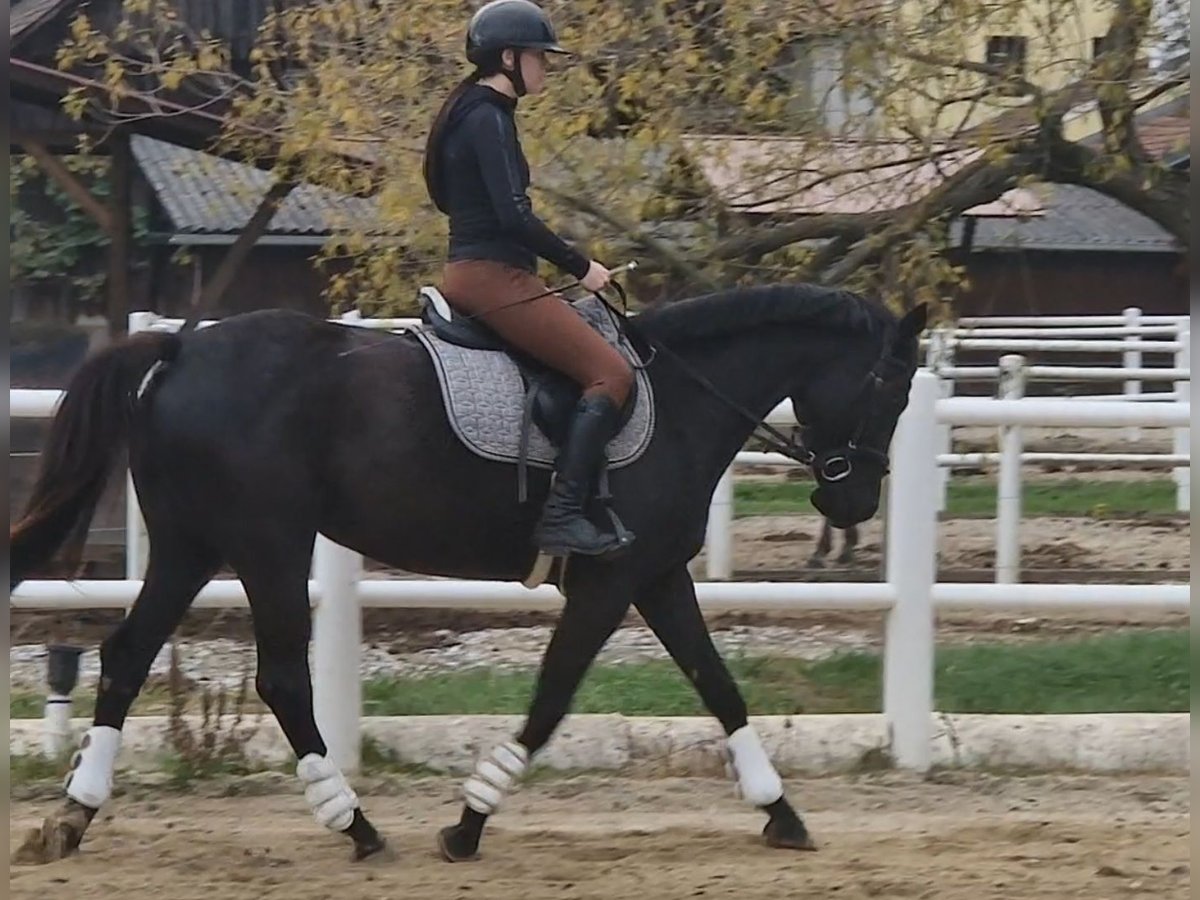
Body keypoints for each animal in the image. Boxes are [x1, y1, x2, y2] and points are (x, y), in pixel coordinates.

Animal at [11, 282, 926, 868]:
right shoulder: (609, 581)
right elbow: (552, 698)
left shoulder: (657, 575)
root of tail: (180, 346)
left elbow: (719, 686)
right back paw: (355, 826)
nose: (850, 501)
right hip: (268, 543)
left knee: (127, 656)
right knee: (280, 680)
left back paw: (72, 816)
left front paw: (782, 812)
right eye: (891, 386)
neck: (683, 400)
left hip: (190, 547)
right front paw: (469, 822)